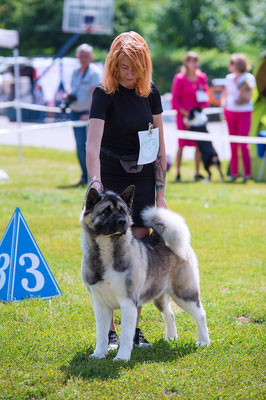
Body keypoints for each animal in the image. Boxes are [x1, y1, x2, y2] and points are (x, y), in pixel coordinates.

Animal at [80, 186, 209, 360]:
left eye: (122, 211)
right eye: (106, 211)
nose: (122, 222)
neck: (108, 249)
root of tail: (163, 239)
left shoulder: (128, 302)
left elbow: (126, 333)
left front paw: (122, 357)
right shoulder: (100, 304)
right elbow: (101, 333)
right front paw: (99, 354)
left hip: (184, 294)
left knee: (201, 314)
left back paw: (203, 342)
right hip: (159, 297)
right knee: (170, 314)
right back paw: (171, 338)